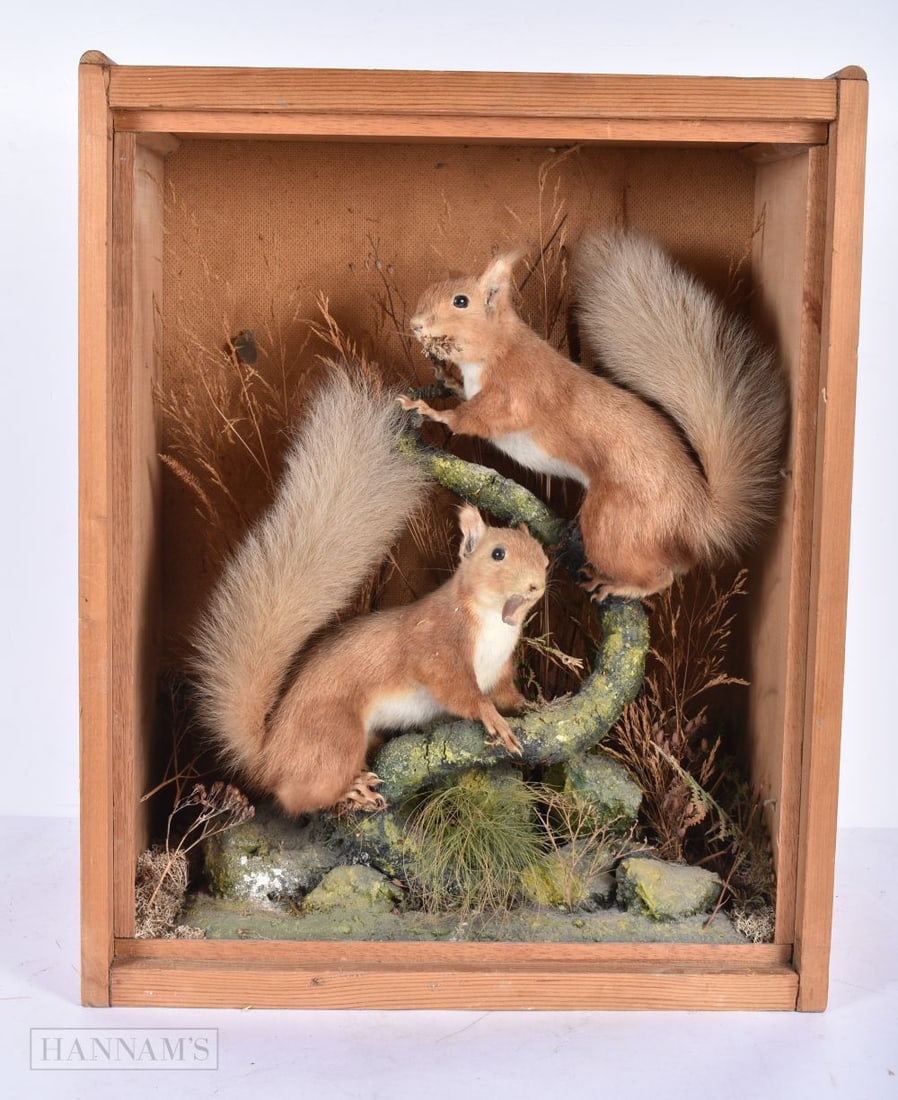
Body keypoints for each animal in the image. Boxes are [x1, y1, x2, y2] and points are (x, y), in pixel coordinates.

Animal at [191, 370, 548, 816]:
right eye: (497, 553)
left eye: (541, 552)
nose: (538, 582)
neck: (493, 625)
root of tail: (268, 758)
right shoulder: (435, 645)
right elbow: (456, 690)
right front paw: (491, 718)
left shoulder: (499, 670)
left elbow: (505, 693)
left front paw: (530, 704)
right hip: (334, 736)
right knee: (297, 796)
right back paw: (352, 789)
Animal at [399, 230, 787, 600]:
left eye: (460, 301)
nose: (416, 324)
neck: (499, 349)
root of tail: (694, 514)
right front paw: (447, 380)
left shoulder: (520, 392)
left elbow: (481, 418)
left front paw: (432, 412)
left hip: (612, 524)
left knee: (659, 575)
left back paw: (621, 586)